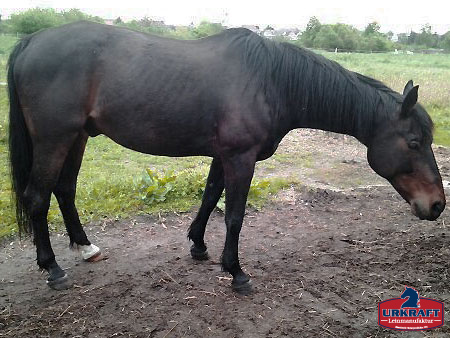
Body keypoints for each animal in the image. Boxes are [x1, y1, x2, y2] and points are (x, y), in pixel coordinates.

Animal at [7, 21, 446, 294]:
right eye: (413, 142)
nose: (437, 205)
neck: (271, 81)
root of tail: (31, 41)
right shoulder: (241, 157)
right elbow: (234, 214)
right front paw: (236, 272)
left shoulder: (223, 155)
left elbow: (209, 198)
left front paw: (199, 247)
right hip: (55, 138)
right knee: (37, 197)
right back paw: (53, 268)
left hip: (78, 137)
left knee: (64, 190)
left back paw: (85, 248)